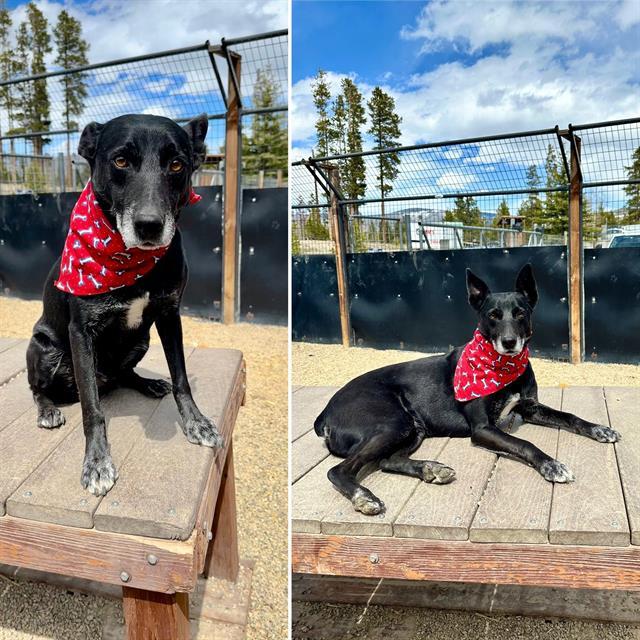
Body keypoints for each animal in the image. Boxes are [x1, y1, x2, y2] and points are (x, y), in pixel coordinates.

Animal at [26, 114, 222, 496]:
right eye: (120, 161)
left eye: (177, 164)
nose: (149, 226)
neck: (129, 261)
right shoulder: (80, 333)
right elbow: (92, 408)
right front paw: (97, 462)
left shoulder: (169, 315)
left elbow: (181, 378)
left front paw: (197, 422)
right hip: (44, 349)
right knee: (39, 388)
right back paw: (47, 409)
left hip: (140, 341)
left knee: (122, 374)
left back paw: (148, 383)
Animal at [318, 264, 624, 516]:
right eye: (493, 316)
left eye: (520, 313)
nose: (509, 342)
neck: (503, 367)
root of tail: (326, 411)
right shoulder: (483, 429)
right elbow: (524, 443)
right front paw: (551, 465)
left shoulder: (530, 407)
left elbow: (569, 416)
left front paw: (600, 429)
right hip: (392, 423)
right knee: (338, 470)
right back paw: (363, 497)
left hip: (412, 430)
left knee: (387, 461)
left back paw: (430, 469)